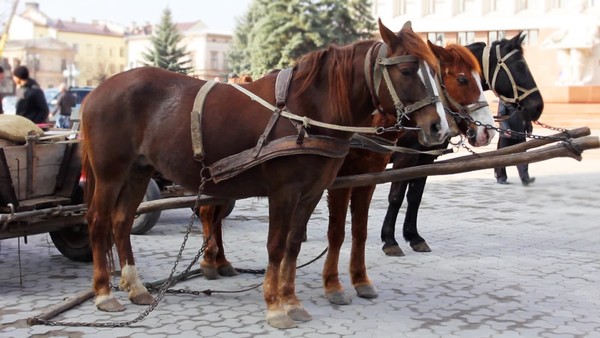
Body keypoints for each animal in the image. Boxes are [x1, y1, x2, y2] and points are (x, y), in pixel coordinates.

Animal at [82, 19, 448, 328]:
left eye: (437, 71)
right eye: (406, 70)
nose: (438, 128)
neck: (305, 112)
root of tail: (97, 91)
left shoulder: (311, 192)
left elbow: (293, 245)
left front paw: (291, 301)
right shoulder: (283, 192)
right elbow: (276, 245)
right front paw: (274, 306)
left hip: (138, 170)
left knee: (121, 222)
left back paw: (136, 286)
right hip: (111, 172)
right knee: (99, 221)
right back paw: (104, 293)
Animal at [382, 33, 548, 258]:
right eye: (520, 65)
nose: (538, 106)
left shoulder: (425, 157)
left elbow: (415, 197)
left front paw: (414, 236)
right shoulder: (405, 157)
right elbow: (396, 197)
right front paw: (389, 239)